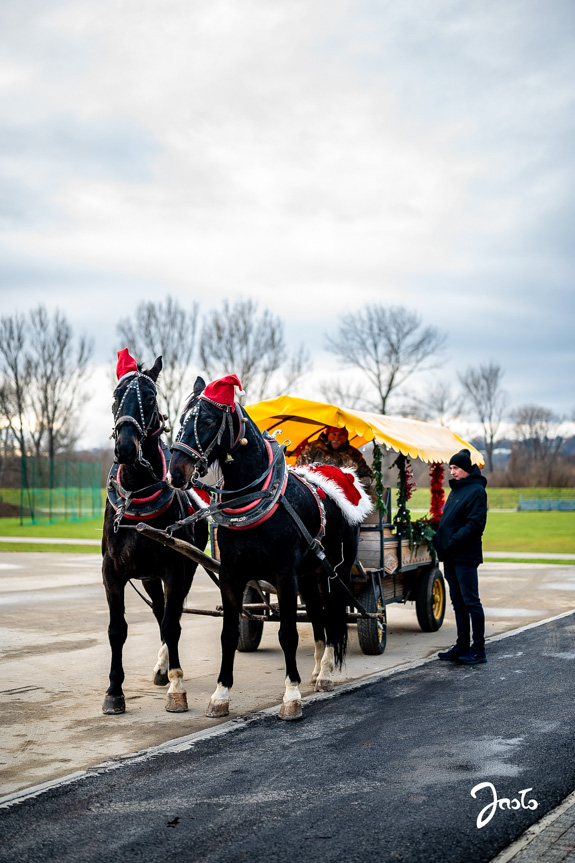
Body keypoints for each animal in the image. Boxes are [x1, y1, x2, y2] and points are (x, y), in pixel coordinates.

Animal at [169, 374, 362, 720]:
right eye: (181, 420)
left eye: (207, 420)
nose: (176, 473)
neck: (254, 497)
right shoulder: (232, 574)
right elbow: (229, 634)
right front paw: (220, 695)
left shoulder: (284, 575)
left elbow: (288, 633)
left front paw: (291, 696)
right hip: (309, 576)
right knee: (318, 618)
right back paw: (316, 670)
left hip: (334, 573)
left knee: (332, 616)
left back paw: (325, 673)